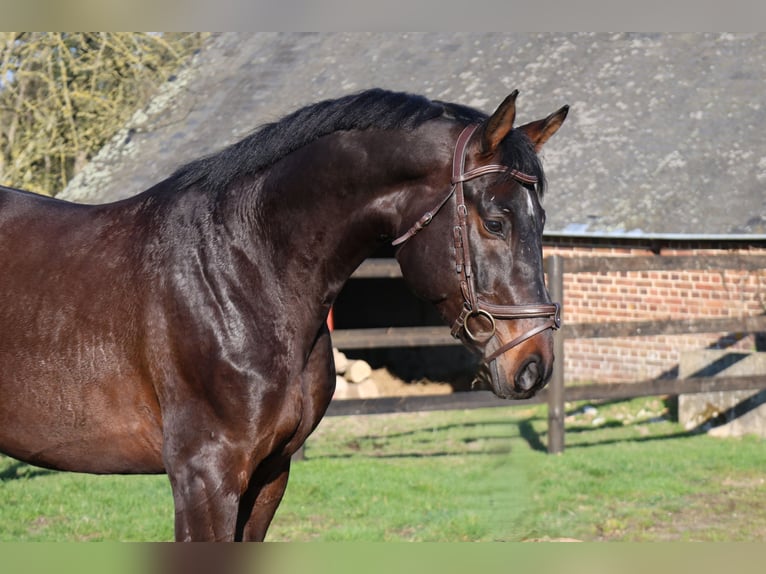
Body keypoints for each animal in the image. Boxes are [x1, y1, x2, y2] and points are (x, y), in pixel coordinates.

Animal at [0, 88, 568, 541]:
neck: (241, 270)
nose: (533, 365)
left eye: (541, 219)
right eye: (494, 221)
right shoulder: (204, 477)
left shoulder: (270, 473)